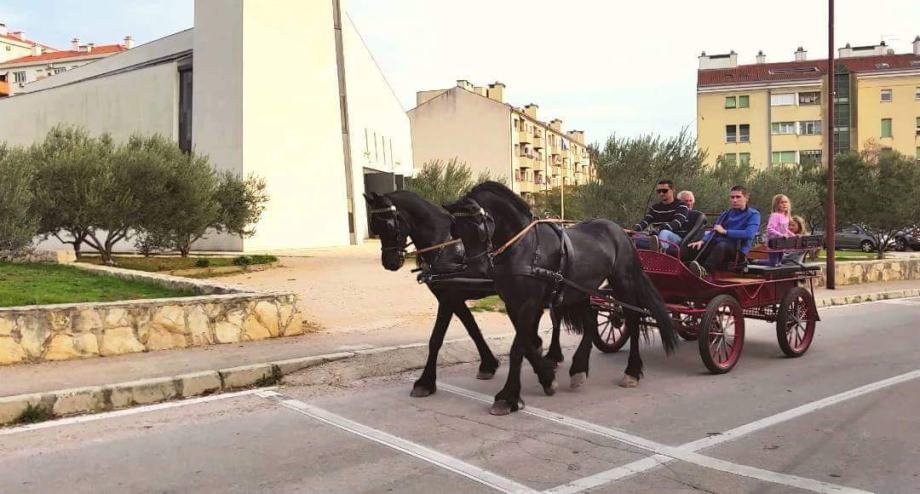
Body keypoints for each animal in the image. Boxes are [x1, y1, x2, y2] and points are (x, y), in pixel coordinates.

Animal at [363, 190, 565, 398]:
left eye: (389, 225)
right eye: (374, 225)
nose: (390, 262)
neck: (443, 245)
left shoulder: (448, 297)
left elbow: (436, 338)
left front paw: (425, 382)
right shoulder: (454, 298)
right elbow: (473, 329)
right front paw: (488, 364)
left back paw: (553, 354)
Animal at [444, 182, 677, 415]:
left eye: (480, 226)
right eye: (457, 229)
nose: (476, 269)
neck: (524, 246)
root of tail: (620, 230)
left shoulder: (529, 304)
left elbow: (518, 348)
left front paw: (507, 397)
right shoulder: (513, 304)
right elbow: (528, 344)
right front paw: (547, 377)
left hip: (623, 282)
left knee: (632, 320)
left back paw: (632, 371)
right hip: (583, 289)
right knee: (591, 323)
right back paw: (579, 369)